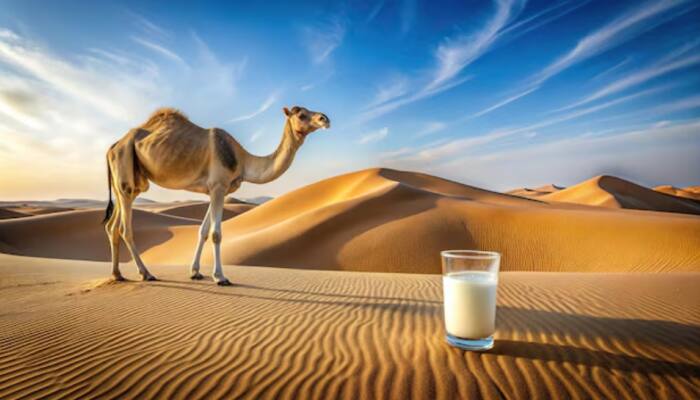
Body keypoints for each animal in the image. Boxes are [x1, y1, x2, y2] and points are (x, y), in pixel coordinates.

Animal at [103, 106, 330, 285]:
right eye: (301, 114)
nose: (324, 118)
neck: (242, 160)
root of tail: (112, 146)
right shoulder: (219, 186)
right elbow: (216, 234)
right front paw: (220, 277)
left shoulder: (215, 189)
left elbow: (203, 231)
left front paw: (195, 272)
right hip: (125, 174)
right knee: (125, 229)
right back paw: (146, 274)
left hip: (126, 183)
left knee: (112, 226)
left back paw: (117, 275)